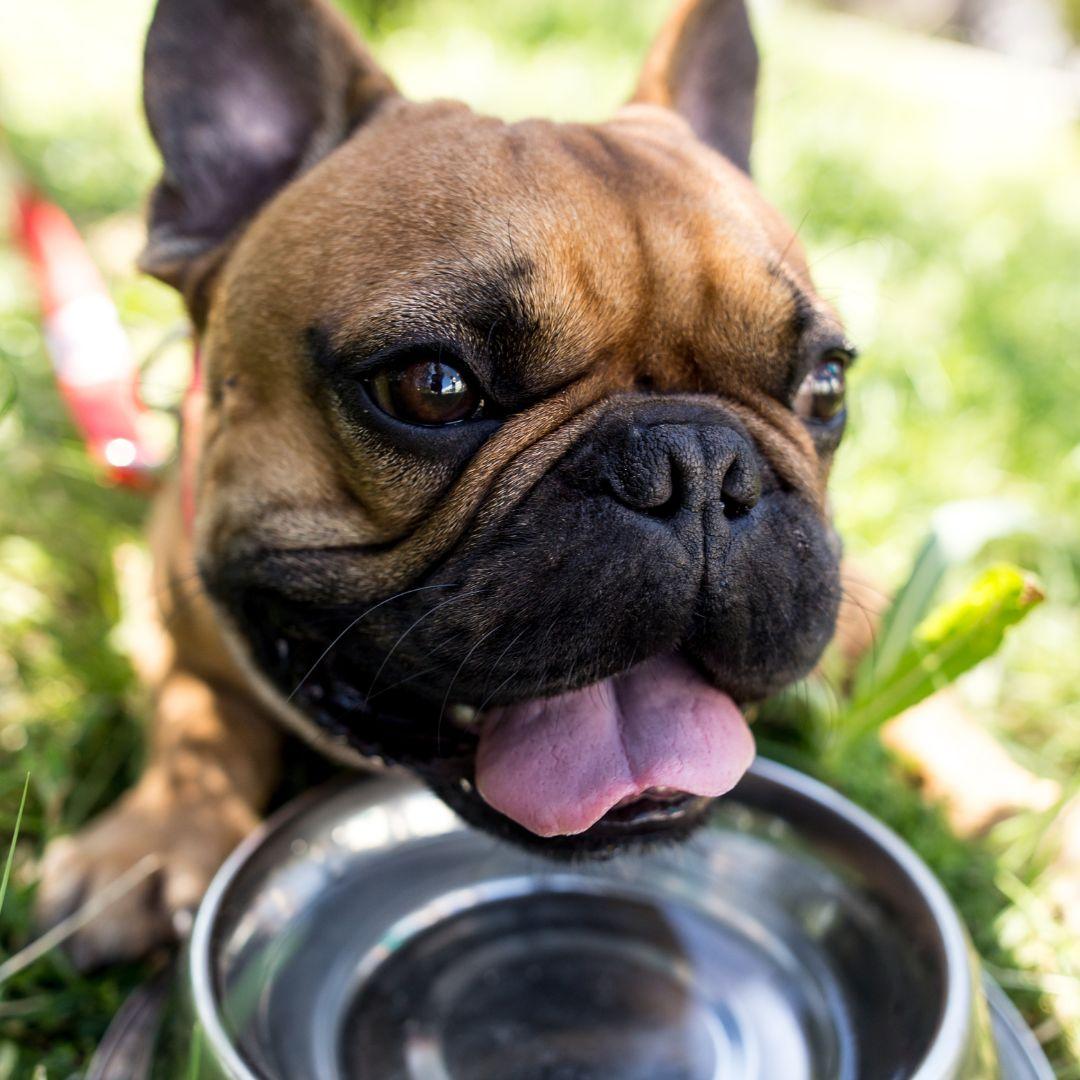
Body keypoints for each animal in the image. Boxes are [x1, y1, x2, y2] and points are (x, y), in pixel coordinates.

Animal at [38, 0, 855, 972]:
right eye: (431, 387)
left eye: (826, 387)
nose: (695, 467)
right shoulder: (163, 616)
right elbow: (197, 716)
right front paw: (152, 840)